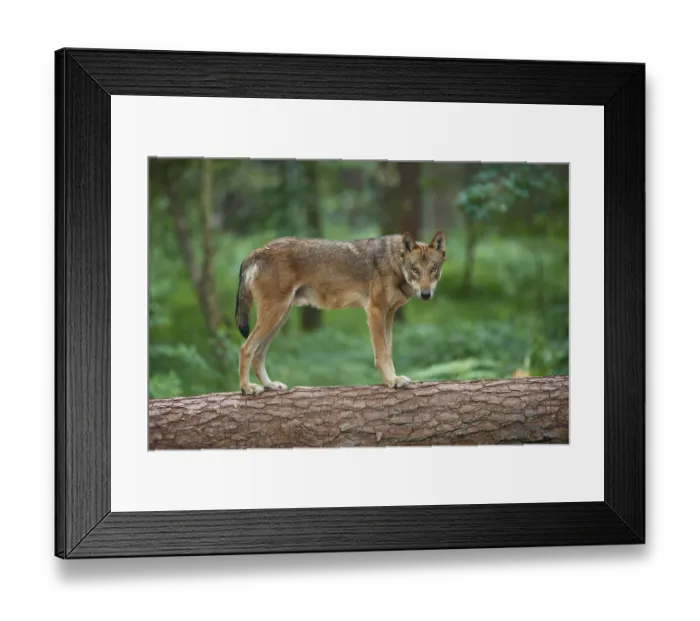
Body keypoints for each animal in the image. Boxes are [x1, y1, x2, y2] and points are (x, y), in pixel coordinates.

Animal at [235, 230, 446, 395]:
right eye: (415, 270)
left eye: (433, 270)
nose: (426, 294)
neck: (394, 262)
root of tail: (258, 250)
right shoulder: (375, 311)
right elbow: (382, 353)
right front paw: (391, 381)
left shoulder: (389, 314)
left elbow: (389, 351)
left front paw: (393, 378)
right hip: (274, 315)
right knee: (245, 348)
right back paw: (247, 388)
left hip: (280, 317)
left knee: (259, 353)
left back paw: (269, 385)